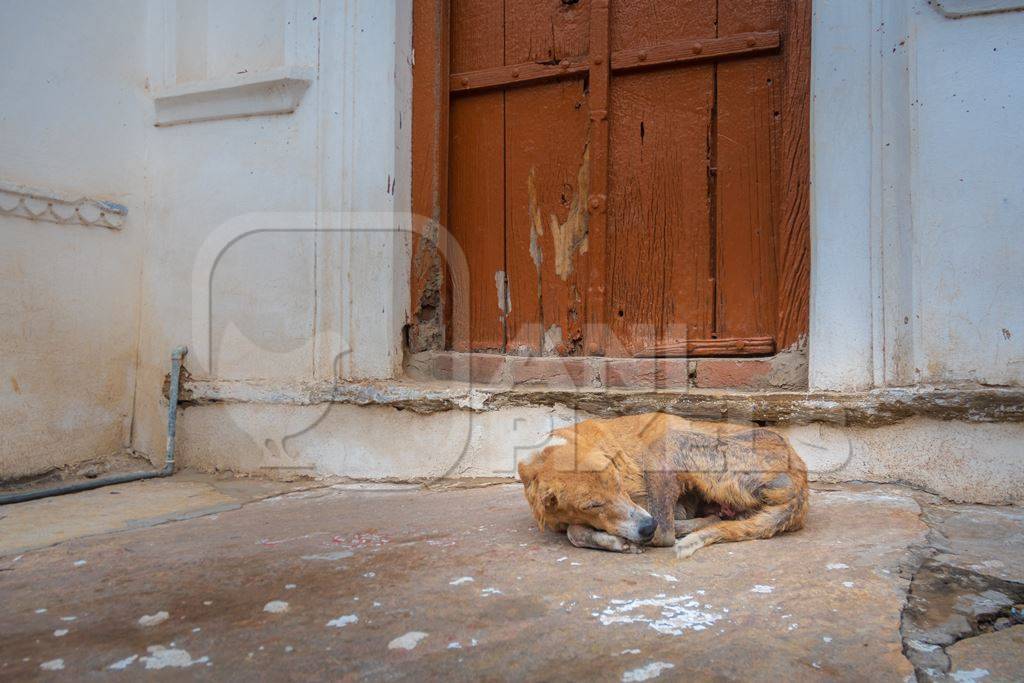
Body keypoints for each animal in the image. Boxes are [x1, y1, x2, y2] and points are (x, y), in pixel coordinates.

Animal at [520, 413, 806, 557]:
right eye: (592, 505)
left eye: (618, 481)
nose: (646, 527)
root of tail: (800, 475)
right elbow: (574, 530)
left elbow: (574, 531)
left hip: (664, 444)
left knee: (667, 532)